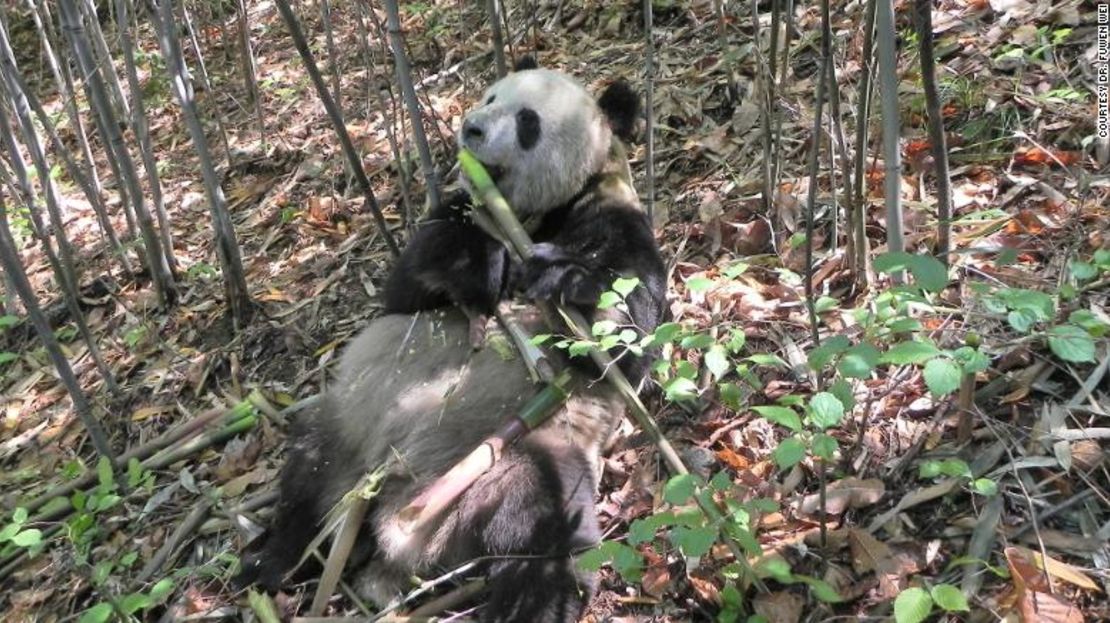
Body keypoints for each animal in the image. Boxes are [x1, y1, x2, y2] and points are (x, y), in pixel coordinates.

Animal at [234, 60, 661, 617]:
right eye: (492, 96)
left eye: (527, 122)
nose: (471, 129)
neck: (525, 215)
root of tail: (400, 520)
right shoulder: (455, 212)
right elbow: (405, 290)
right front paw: (478, 265)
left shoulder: (613, 214)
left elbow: (630, 337)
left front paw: (563, 275)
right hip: (351, 424)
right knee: (306, 479)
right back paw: (272, 561)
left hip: (510, 455)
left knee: (544, 523)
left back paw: (531, 603)